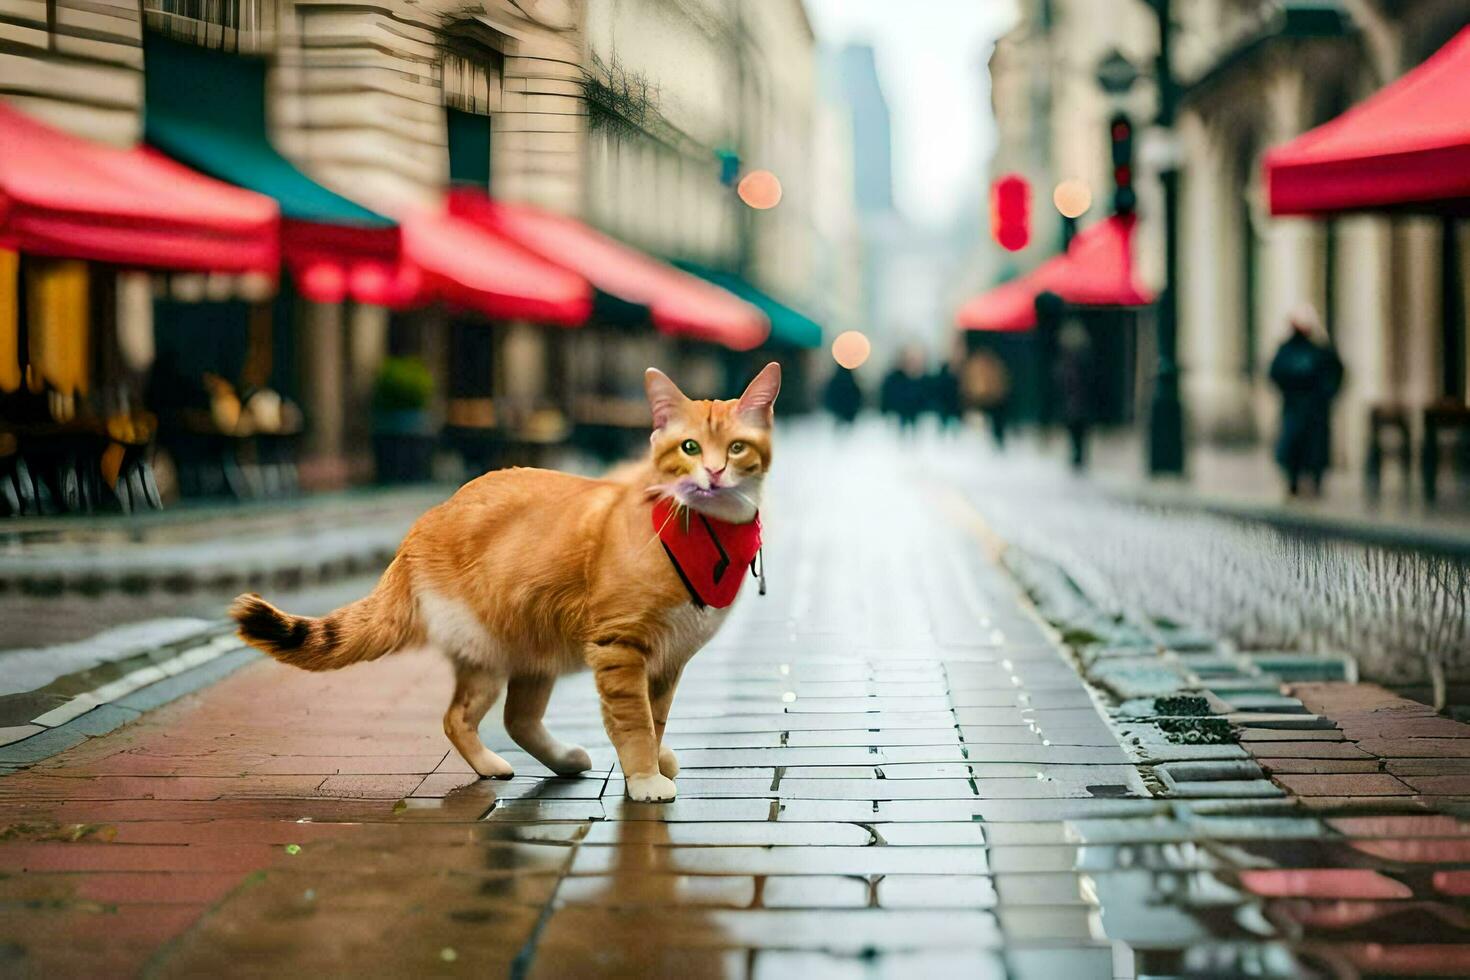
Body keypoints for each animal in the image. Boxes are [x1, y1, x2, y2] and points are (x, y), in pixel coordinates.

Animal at [229, 364, 782, 799]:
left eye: (736, 448)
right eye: (689, 448)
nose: (713, 473)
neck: (702, 530)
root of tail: (423, 524)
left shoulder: (667, 661)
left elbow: (657, 716)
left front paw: (652, 761)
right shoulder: (620, 646)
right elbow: (633, 720)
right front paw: (645, 777)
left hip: (535, 648)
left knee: (516, 718)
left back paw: (563, 759)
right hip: (491, 653)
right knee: (459, 718)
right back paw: (493, 765)